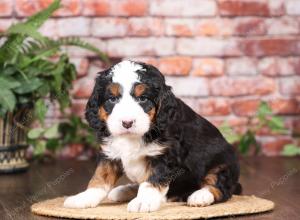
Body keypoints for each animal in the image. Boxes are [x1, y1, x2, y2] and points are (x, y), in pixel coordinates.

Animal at [63, 61, 241, 212]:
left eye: (143, 98)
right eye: (112, 99)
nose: (127, 122)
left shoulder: (164, 156)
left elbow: (152, 181)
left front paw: (144, 202)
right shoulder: (110, 154)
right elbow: (99, 178)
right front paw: (83, 198)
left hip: (223, 164)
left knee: (221, 187)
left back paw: (200, 195)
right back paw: (124, 190)